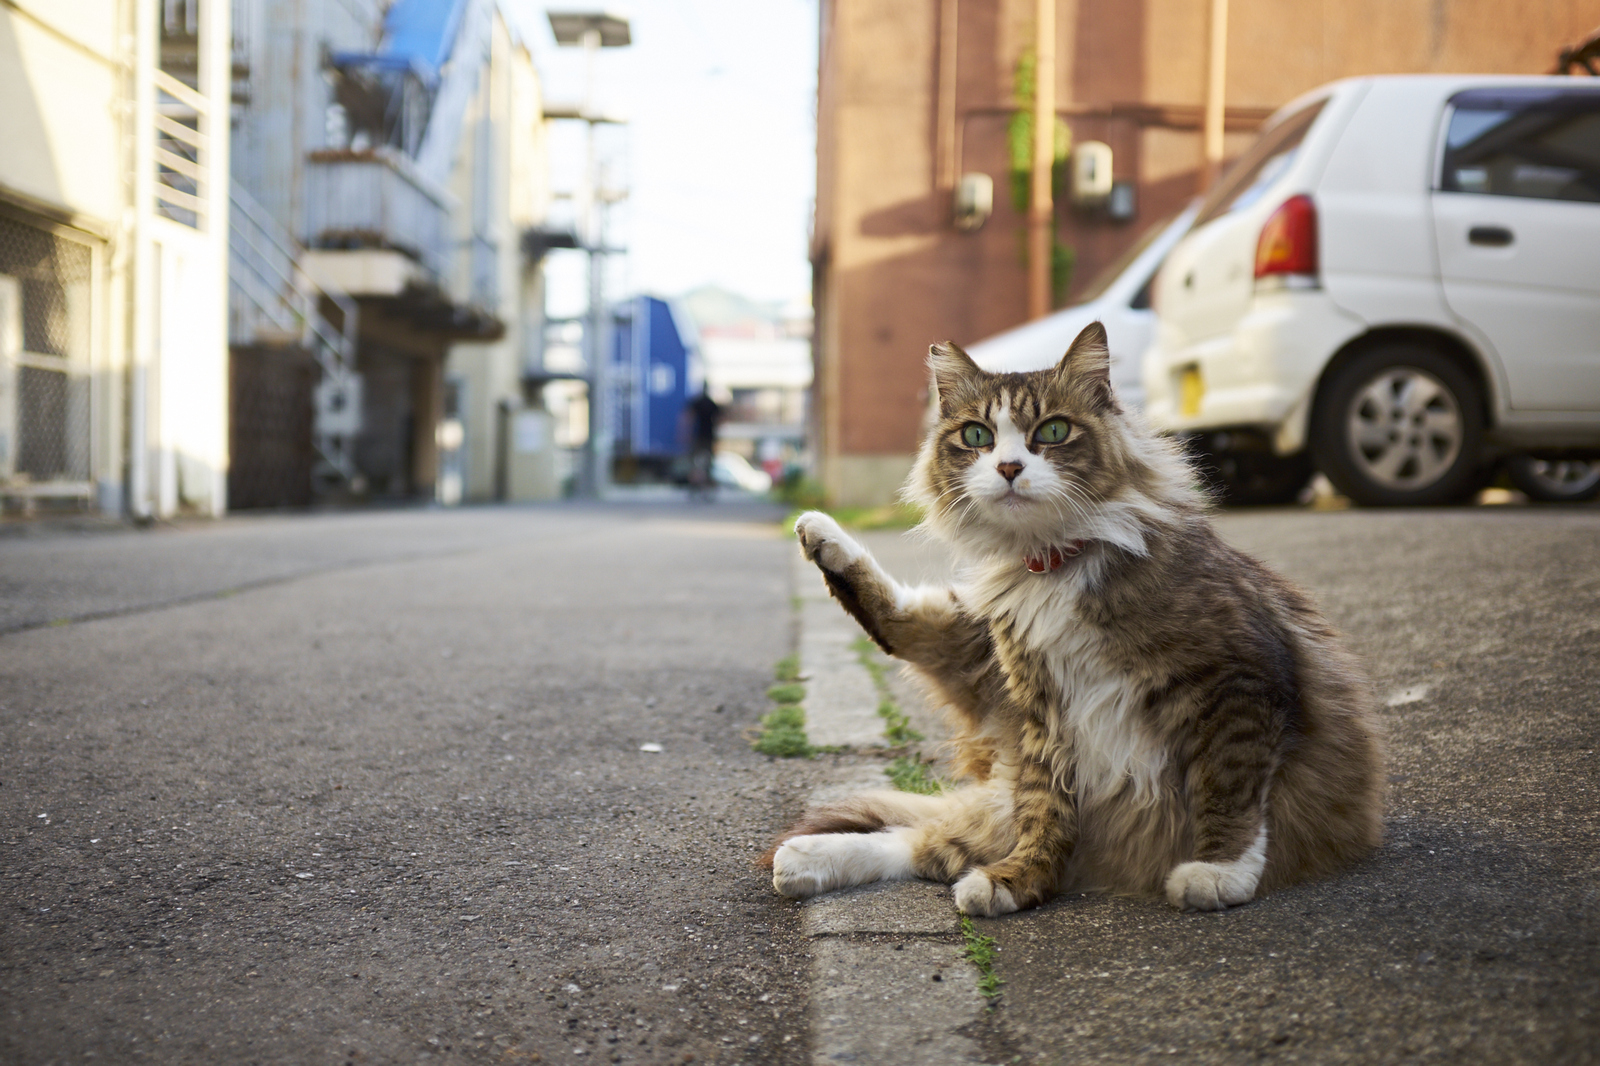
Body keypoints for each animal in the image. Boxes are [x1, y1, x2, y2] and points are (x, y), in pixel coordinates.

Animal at [768, 320, 1382, 909]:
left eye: (1053, 432)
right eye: (977, 436)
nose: (1009, 467)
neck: (1053, 566)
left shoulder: (1240, 677)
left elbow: (1229, 783)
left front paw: (1218, 871)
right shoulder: (1043, 712)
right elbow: (1046, 812)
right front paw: (1020, 880)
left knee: (921, 840)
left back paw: (806, 858)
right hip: (978, 658)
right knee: (922, 817)